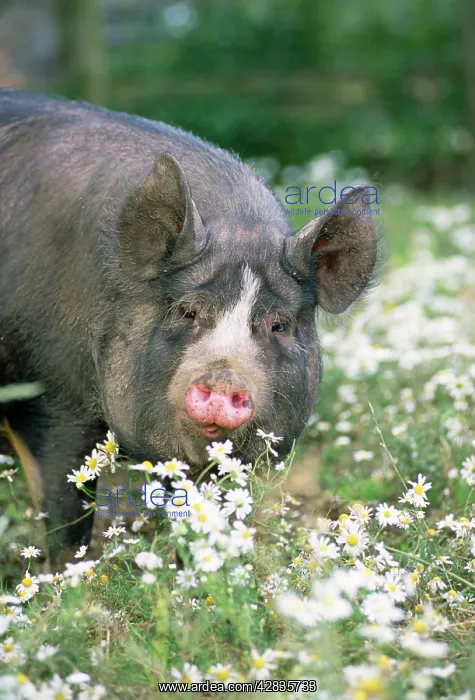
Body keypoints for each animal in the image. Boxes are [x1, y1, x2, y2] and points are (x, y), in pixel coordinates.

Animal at [0, 90, 380, 554]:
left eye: (279, 325)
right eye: (186, 310)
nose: (223, 378)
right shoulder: (50, 395)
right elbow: (61, 514)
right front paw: (69, 574)